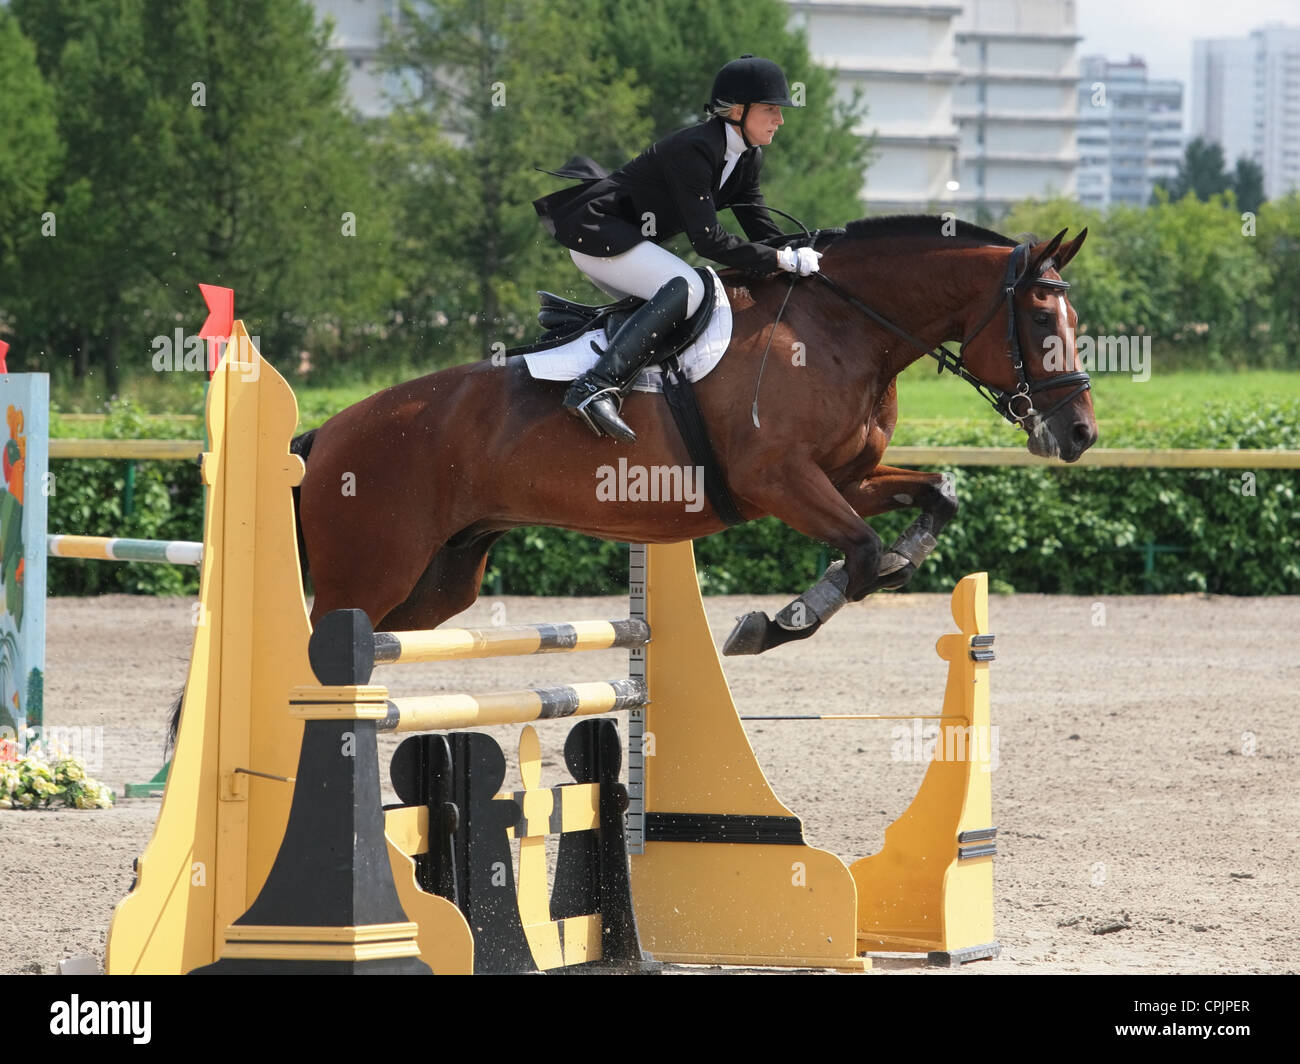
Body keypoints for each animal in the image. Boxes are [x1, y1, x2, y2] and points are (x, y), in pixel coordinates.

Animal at [292, 213, 1097, 655]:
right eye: (1039, 319)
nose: (1081, 432)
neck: (844, 328)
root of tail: (324, 436)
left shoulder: (846, 478)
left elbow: (934, 499)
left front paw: (899, 560)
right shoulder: (779, 481)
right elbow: (862, 553)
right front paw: (774, 624)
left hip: (439, 581)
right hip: (369, 574)